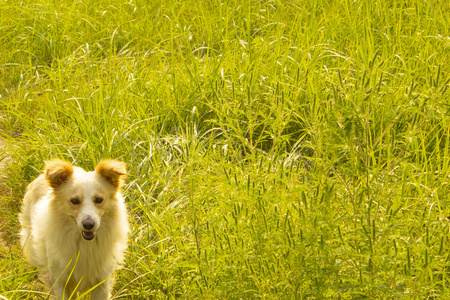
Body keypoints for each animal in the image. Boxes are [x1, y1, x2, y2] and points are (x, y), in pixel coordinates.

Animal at [19, 158, 128, 298]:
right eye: (75, 201)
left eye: (99, 199)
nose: (89, 224)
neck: (85, 244)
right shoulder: (60, 281)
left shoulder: (102, 283)